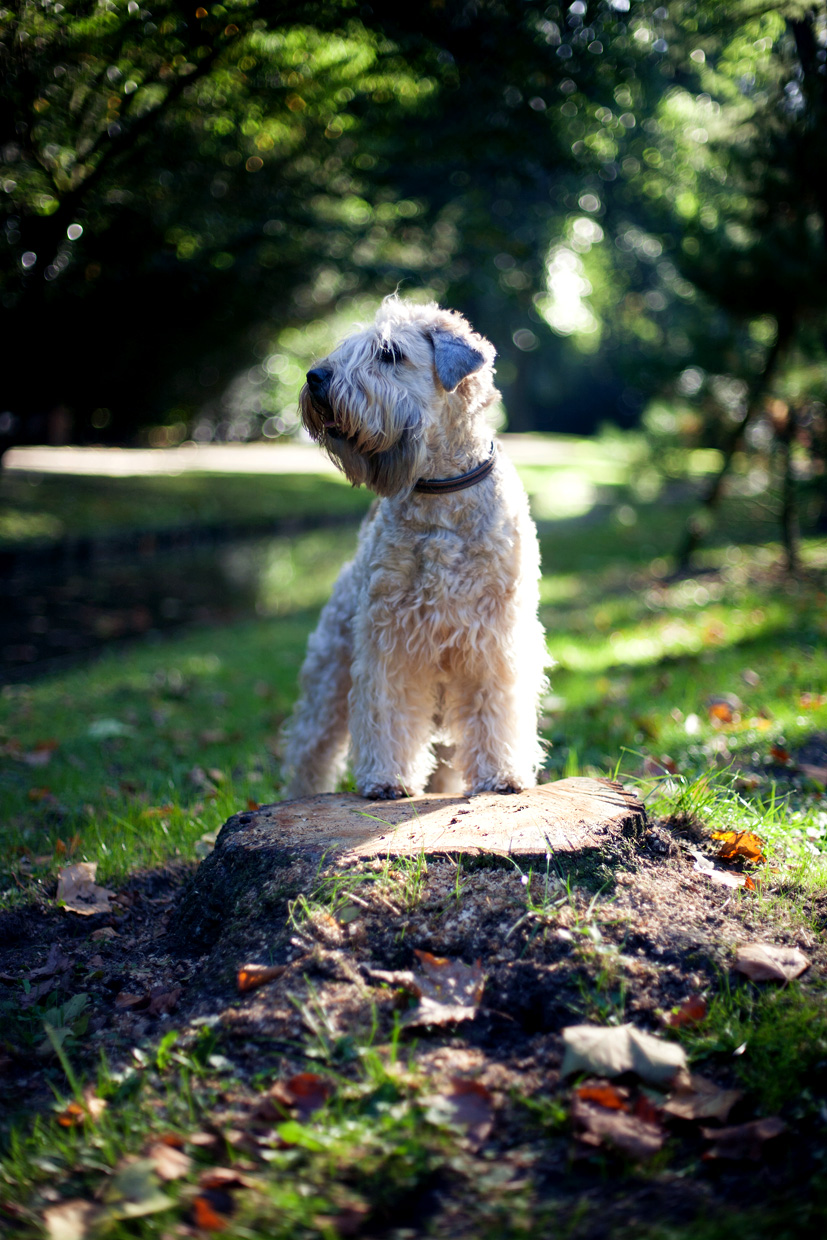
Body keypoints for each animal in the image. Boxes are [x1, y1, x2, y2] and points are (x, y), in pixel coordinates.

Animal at [282, 295, 550, 798]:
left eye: (389, 353)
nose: (315, 376)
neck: (440, 489)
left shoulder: (494, 637)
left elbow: (494, 708)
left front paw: (501, 774)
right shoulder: (391, 639)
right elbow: (387, 710)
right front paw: (386, 779)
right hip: (329, 680)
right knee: (311, 749)